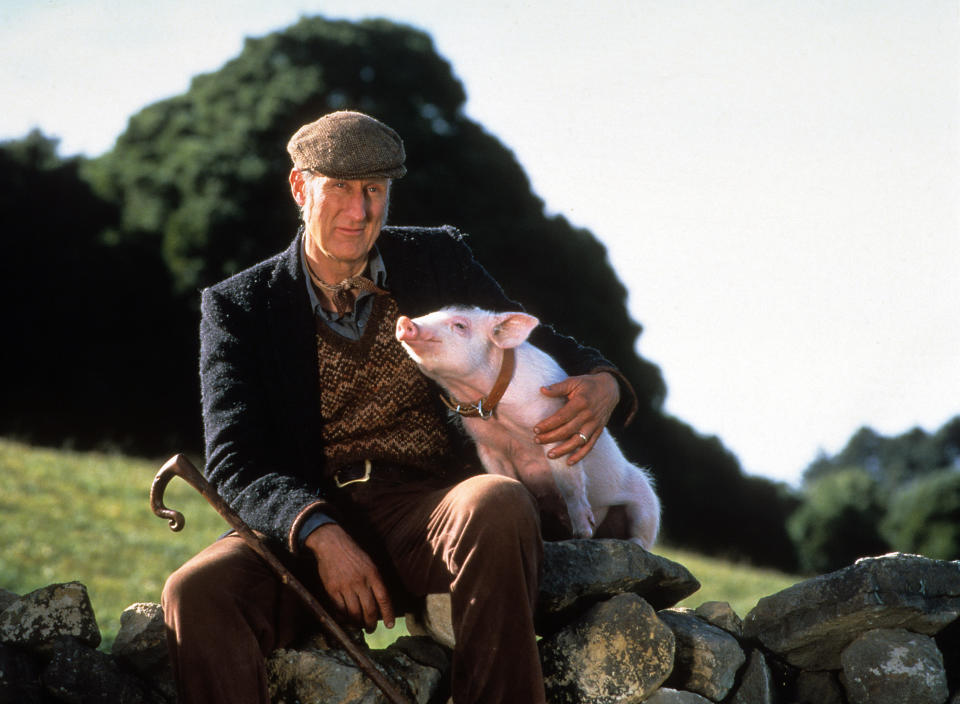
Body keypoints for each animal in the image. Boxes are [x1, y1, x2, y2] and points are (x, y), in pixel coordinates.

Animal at [392, 306, 660, 548]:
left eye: (460, 325)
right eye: (432, 313)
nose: (405, 321)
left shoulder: (555, 429)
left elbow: (569, 483)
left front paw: (583, 533)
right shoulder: (487, 446)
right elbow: (506, 477)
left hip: (647, 502)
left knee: (643, 533)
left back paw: (624, 542)